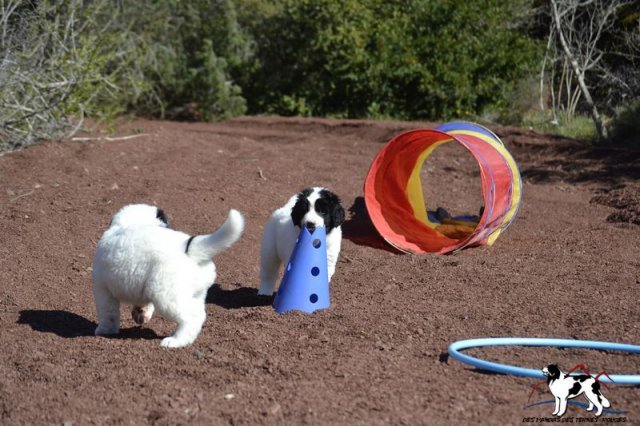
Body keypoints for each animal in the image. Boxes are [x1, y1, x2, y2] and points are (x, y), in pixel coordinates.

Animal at [92, 204, 244, 348]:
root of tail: (188, 248)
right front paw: (140, 314)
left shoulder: (102, 289)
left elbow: (108, 313)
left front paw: (104, 331)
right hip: (194, 294)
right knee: (199, 313)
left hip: (166, 295)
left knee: (191, 317)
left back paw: (175, 341)